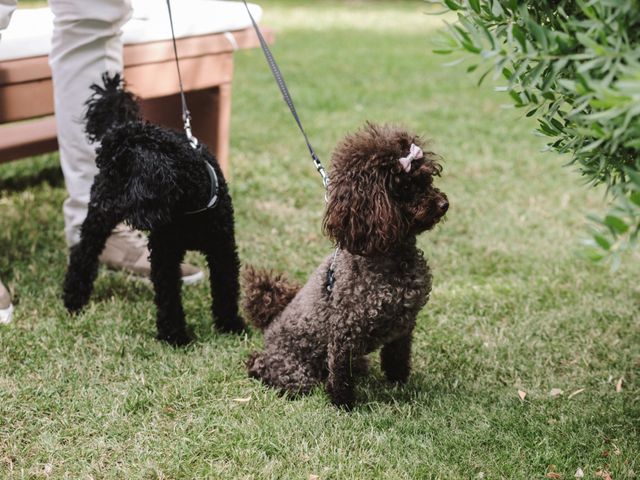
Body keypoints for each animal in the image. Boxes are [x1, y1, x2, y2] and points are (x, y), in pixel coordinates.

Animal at [63, 71, 242, 344]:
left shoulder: (221, 247)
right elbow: (168, 296)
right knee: (82, 253)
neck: (188, 210)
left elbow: (226, 287)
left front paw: (230, 325)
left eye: (119, 173)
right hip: (97, 225)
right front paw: (175, 335)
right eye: (107, 170)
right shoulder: (164, 252)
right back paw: (74, 298)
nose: (101, 201)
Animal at [242, 123, 448, 408]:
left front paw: (399, 384)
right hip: (293, 369)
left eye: (427, 180)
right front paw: (343, 404)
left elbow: (397, 358)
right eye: (405, 186)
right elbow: (340, 372)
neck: (391, 257)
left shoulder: (403, 328)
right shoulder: (344, 331)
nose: (444, 204)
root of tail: (269, 326)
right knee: (267, 368)